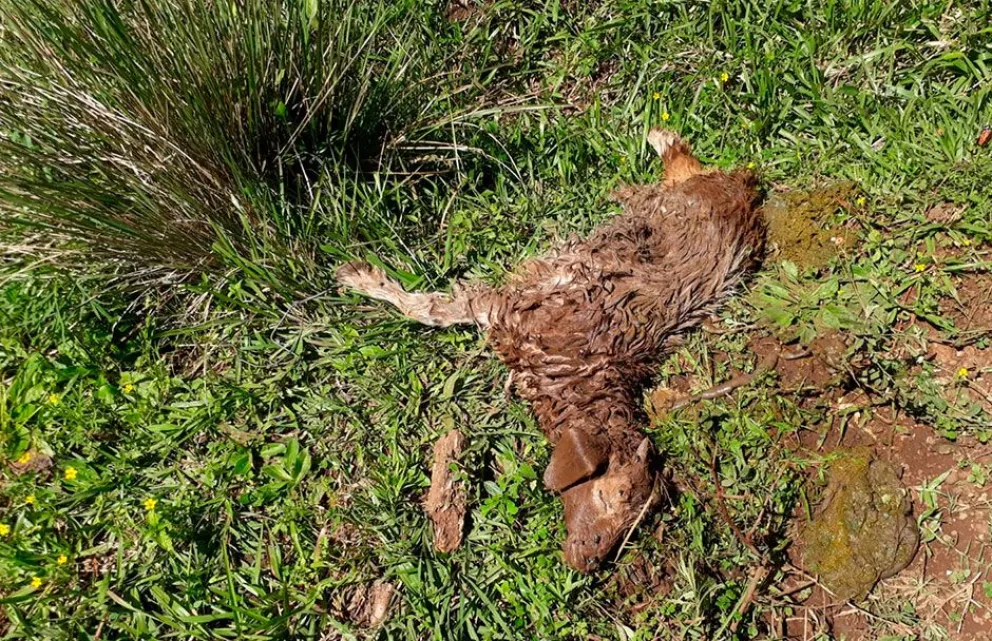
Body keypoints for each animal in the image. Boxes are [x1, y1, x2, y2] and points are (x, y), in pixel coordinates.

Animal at [337, 129, 765, 572]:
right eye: (612, 494)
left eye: (635, 523)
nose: (589, 562)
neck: (581, 376)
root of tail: (743, 191)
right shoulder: (504, 307)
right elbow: (427, 309)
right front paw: (364, 279)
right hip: (675, 199)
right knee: (682, 167)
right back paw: (653, 146)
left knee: (685, 166)